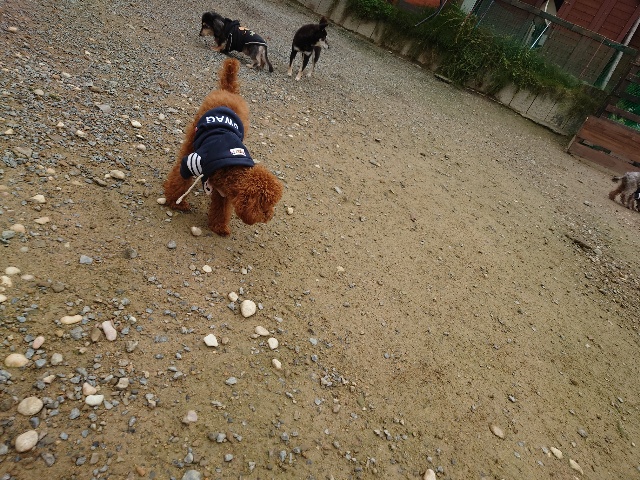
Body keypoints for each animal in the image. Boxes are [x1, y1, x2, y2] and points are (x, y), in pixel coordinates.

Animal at [162, 58, 283, 236]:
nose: (269, 216)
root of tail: (228, 90)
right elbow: (179, 181)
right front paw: (175, 202)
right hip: (194, 133)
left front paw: (219, 227)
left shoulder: (225, 191)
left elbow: (221, 208)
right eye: (264, 204)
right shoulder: (193, 162)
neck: (233, 167)